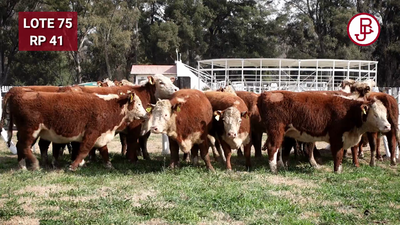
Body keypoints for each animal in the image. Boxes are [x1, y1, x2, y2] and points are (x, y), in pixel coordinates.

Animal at [3, 90, 147, 171]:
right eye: (139, 104)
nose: (146, 114)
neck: (109, 107)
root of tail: (18, 93)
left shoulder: (101, 135)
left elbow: (104, 151)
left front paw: (109, 165)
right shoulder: (92, 133)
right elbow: (84, 150)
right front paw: (73, 166)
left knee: (21, 146)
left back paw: (22, 166)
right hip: (30, 130)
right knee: (24, 146)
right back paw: (34, 164)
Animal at [258, 90, 392, 173]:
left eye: (385, 113)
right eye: (375, 114)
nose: (387, 126)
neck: (348, 111)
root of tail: (266, 94)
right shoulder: (336, 137)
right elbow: (338, 154)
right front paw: (337, 171)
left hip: (282, 133)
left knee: (280, 149)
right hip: (276, 130)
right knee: (272, 147)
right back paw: (274, 169)